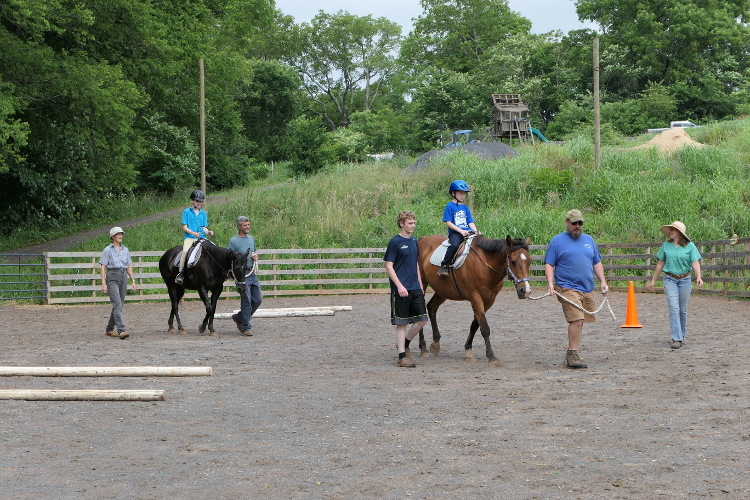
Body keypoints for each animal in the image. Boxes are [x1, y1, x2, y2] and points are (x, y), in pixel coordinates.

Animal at [418, 234, 536, 368]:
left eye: (530, 261)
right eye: (513, 262)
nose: (525, 290)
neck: (485, 266)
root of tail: (422, 239)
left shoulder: (489, 300)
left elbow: (475, 325)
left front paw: (468, 350)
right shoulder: (475, 297)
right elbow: (484, 327)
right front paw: (491, 356)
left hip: (442, 291)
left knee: (431, 307)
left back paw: (435, 343)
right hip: (421, 284)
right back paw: (423, 348)